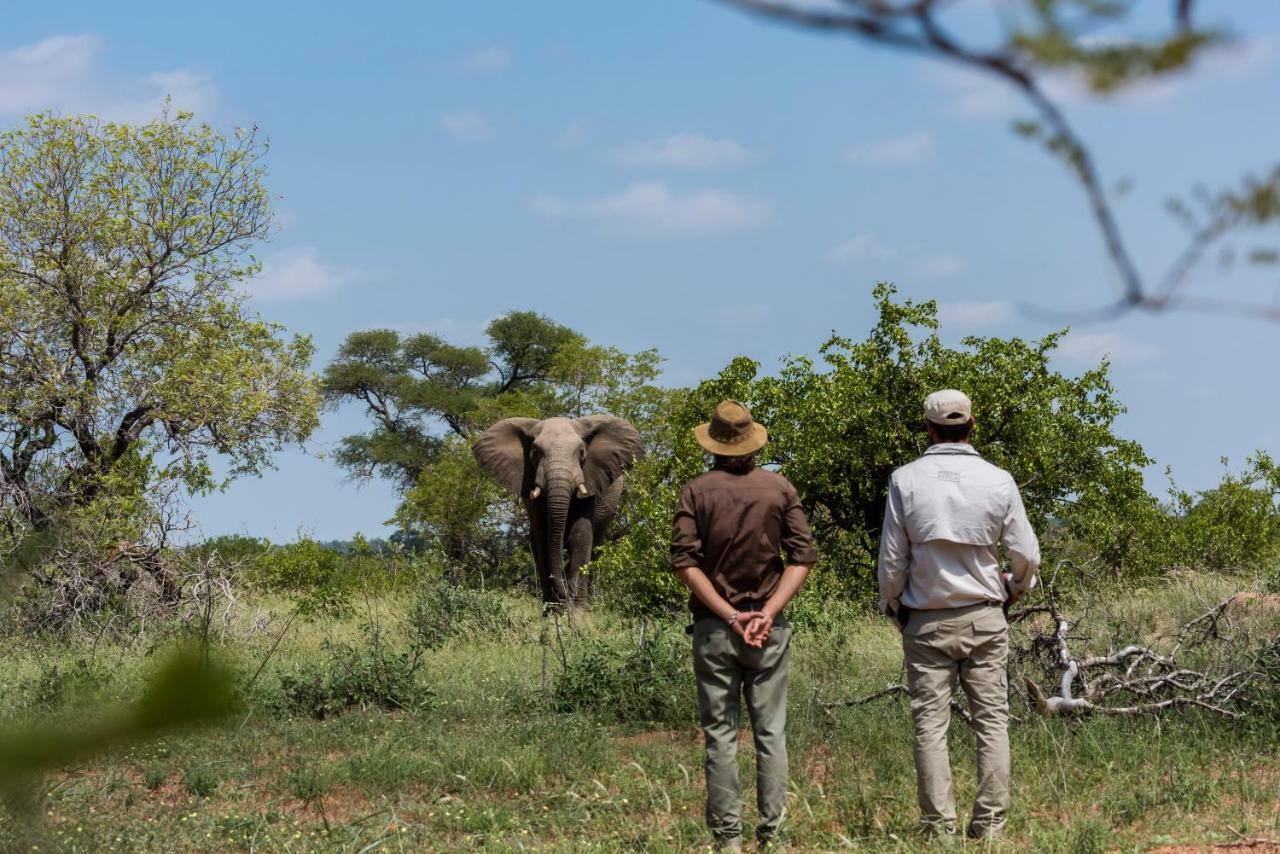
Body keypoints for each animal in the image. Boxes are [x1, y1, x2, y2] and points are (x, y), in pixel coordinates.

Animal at [473, 414, 640, 604]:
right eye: (535, 451)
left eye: (581, 451)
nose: (567, 593)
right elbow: (543, 540)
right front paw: (555, 607)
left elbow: (581, 536)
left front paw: (576, 608)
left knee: (595, 545)